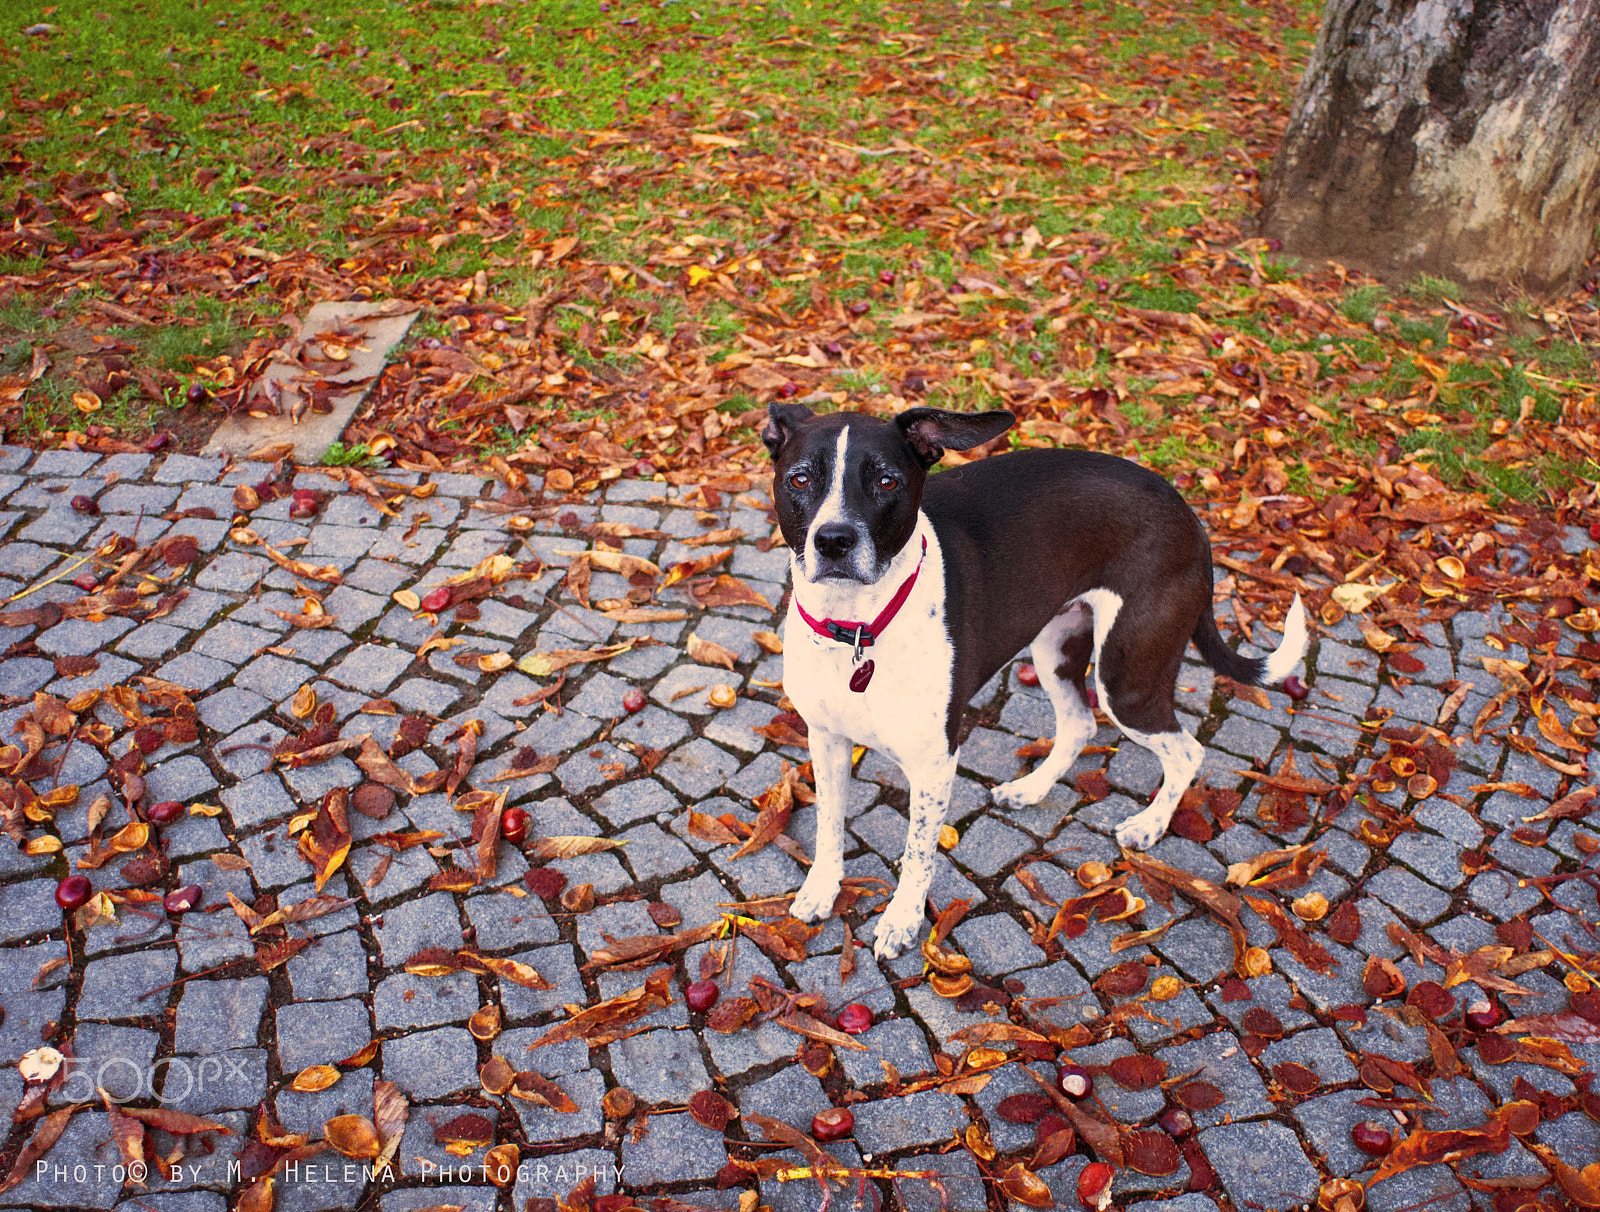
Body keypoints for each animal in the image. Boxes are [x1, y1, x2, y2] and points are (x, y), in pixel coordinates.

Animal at [768, 402, 1305, 965]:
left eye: (886, 481)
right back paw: (1031, 790)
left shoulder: (935, 765)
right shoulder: (826, 740)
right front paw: (821, 890)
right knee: (1080, 725)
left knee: (1185, 750)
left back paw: (1150, 824)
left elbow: (917, 854)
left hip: (1126, 680)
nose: (833, 540)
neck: (857, 628)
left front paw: (901, 921)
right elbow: (829, 826)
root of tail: (1190, 517)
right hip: (1055, 649)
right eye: (800, 478)